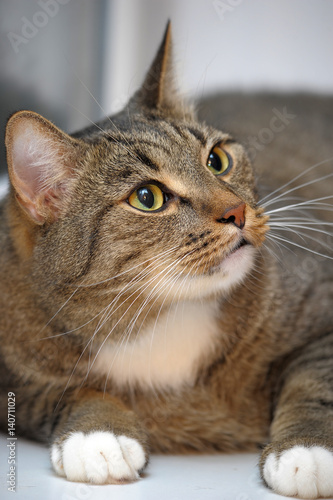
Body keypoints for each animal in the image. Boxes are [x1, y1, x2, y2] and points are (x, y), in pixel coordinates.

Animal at [0, 22, 332, 496]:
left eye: (217, 160)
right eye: (147, 197)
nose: (237, 212)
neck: (161, 315)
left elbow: (316, 378)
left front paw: (307, 450)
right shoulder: (14, 380)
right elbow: (71, 392)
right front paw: (97, 436)